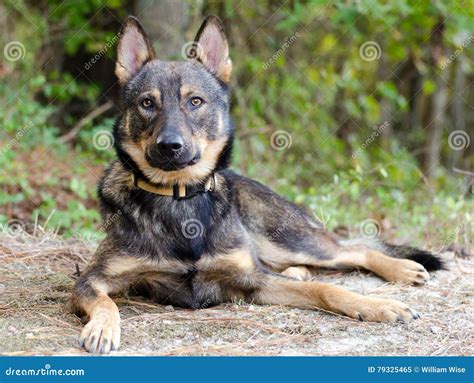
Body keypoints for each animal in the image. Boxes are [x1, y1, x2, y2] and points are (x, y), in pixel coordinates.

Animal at [71, 16, 444, 356]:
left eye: (195, 102)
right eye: (147, 103)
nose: (170, 146)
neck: (180, 198)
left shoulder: (254, 280)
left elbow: (329, 290)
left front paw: (378, 306)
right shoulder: (91, 281)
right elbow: (105, 302)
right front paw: (102, 327)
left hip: (284, 240)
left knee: (354, 249)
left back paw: (402, 268)